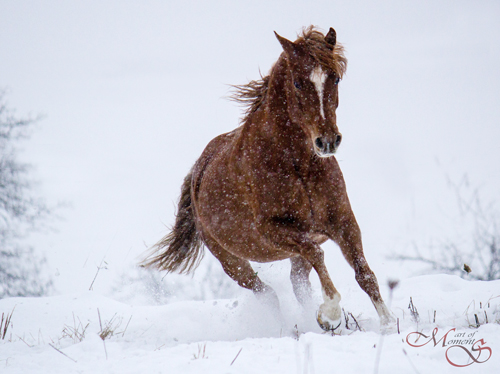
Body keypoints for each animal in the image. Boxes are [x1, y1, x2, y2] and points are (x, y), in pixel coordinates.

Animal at [144, 26, 394, 330]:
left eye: (335, 77)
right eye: (298, 82)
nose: (327, 142)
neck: (298, 167)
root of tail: (198, 172)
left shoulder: (344, 221)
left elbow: (364, 274)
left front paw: (389, 324)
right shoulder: (275, 231)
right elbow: (317, 253)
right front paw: (330, 312)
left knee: (297, 284)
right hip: (231, 261)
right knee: (268, 293)